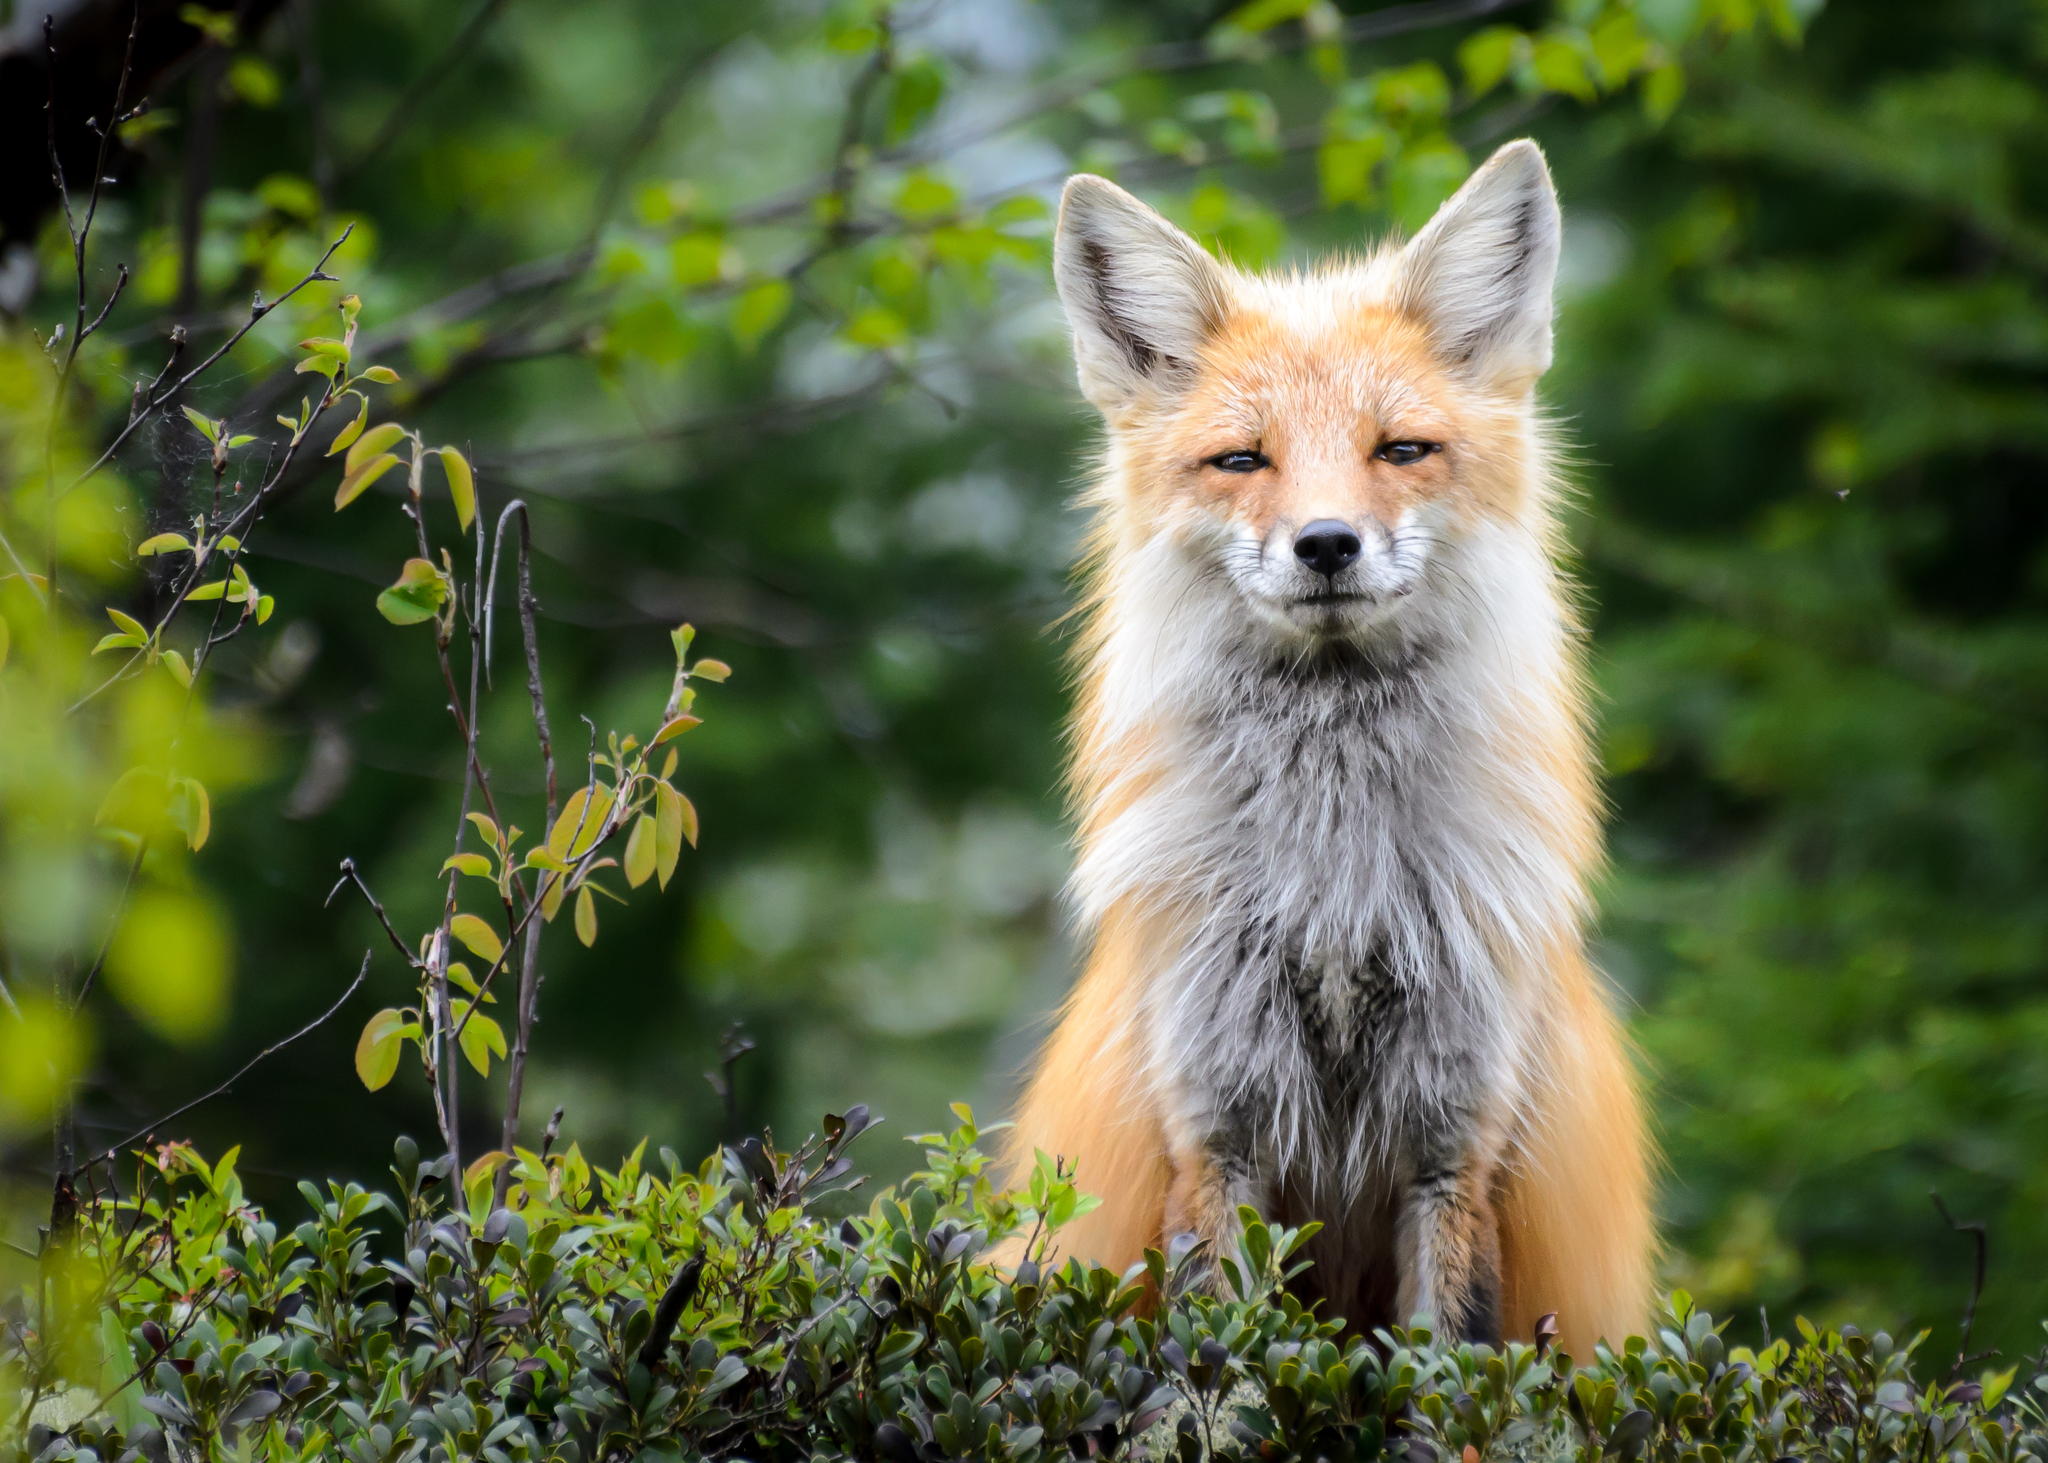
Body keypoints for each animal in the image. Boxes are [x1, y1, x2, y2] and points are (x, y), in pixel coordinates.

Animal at [1000, 140, 1653, 1353]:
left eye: (1400, 449)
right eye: (1241, 460)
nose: (1326, 543)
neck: (1336, 900)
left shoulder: (1455, 1144)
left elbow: (1448, 1366)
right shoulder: (1214, 1129)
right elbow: (1217, 1356)